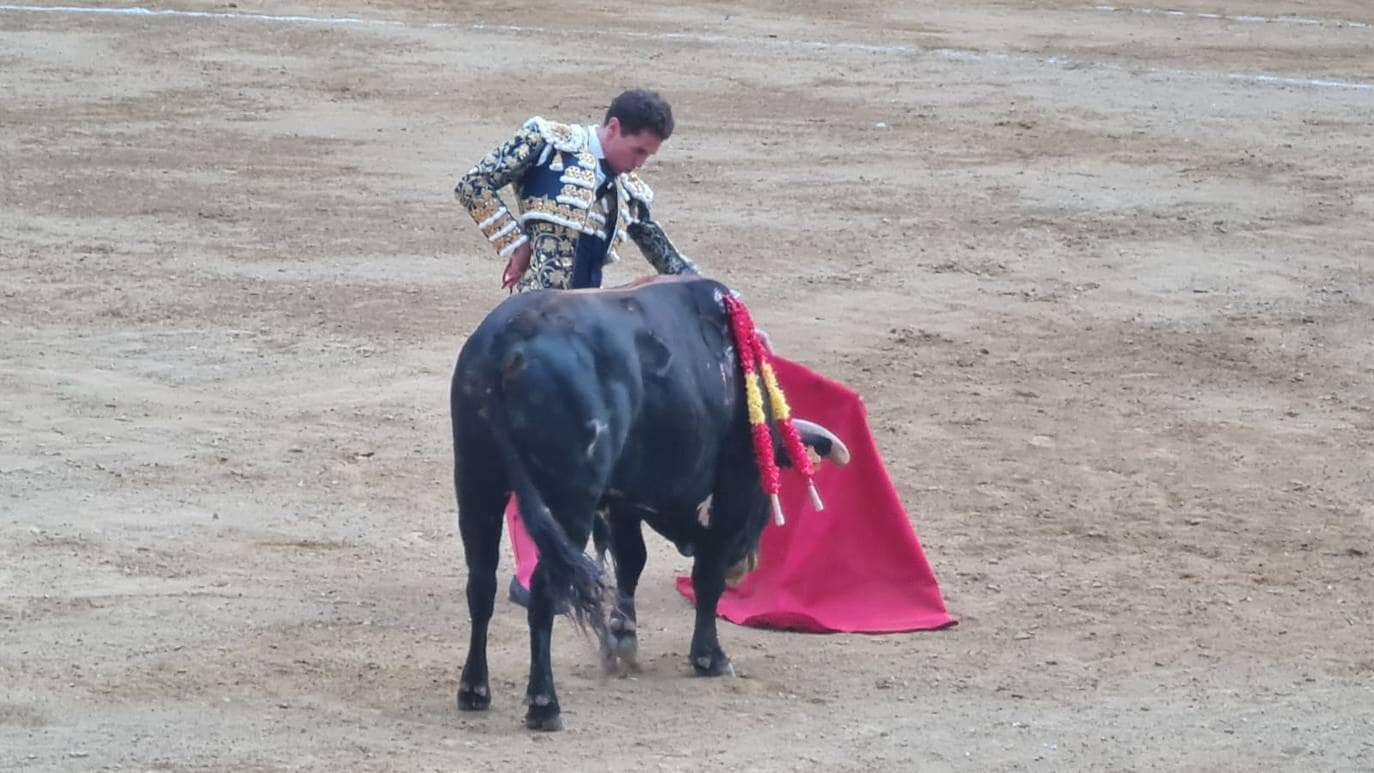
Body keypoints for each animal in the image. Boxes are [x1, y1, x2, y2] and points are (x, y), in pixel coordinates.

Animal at [450, 278, 846, 730]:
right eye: (768, 489)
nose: (746, 564)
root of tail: (507, 344)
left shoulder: (621, 501)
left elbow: (630, 564)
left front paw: (622, 639)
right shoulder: (728, 498)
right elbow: (705, 578)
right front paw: (710, 657)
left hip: (475, 482)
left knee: (481, 582)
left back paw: (474, 690)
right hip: (567, 500)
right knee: (544, 592)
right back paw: (544, 704)